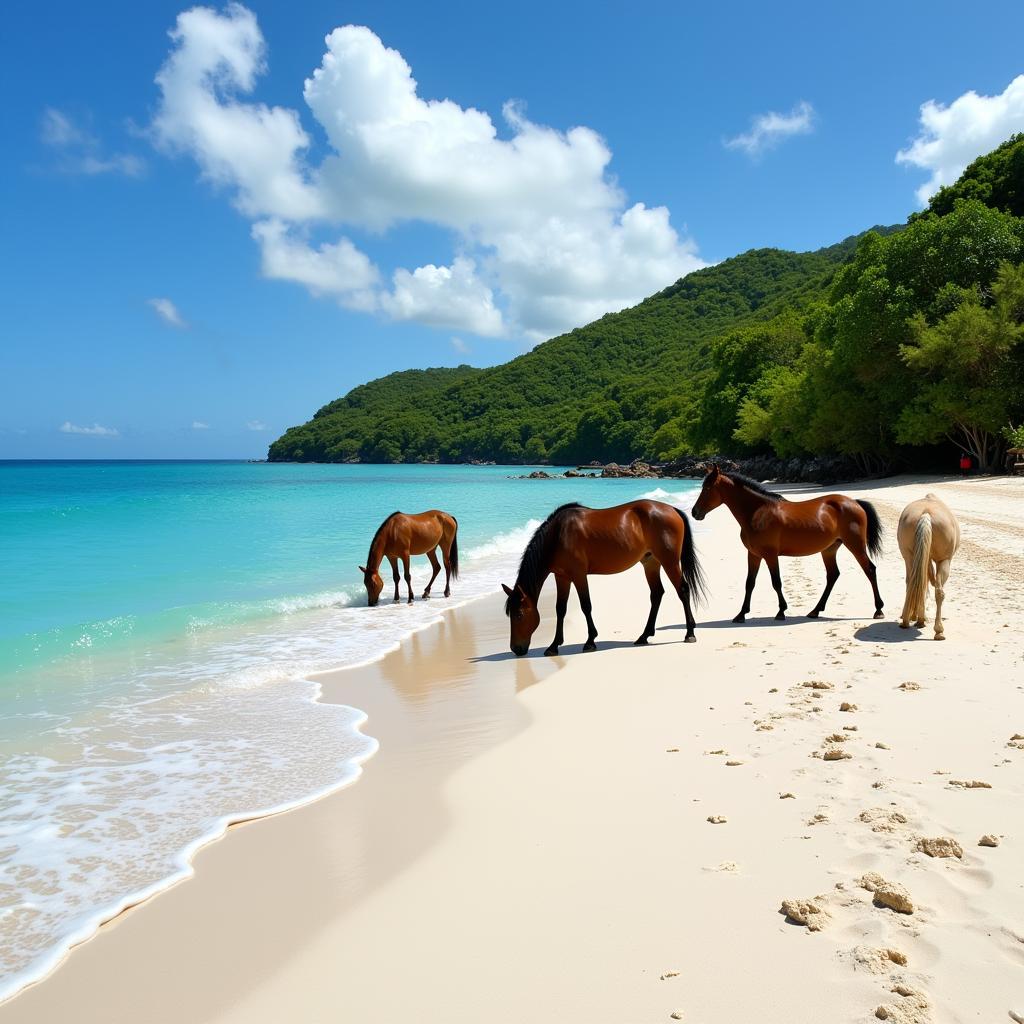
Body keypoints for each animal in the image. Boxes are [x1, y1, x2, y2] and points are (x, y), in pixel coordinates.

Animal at [501, 501, 704, 659]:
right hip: (651, 562)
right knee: (656, 594)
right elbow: (560, 609)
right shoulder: (562, 577)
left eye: (519, 615)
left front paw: (590, 641)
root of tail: (672, 509)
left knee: (682, 590)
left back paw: (689, 633)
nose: (516, 649)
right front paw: (553, 646)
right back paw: (644, 636)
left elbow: (586, 606)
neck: (558, 535)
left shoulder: (578, 575)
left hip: (669, 561)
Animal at [692, 466, 884, 622]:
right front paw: (741, 614)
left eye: (707, 488)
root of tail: (855, 502)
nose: (694, 512)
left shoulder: (770, 555)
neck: (757, 512)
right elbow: (749, 583)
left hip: (856, 546)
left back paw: (878, 610)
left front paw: (781, 611)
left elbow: (776, 582)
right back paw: (815, 611)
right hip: (829, 549)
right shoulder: (753, 554)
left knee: (870, 570)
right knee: (833, 575)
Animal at [897, 493, 958, 638]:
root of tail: (926, 514)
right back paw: (937, 630)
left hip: (909, 557)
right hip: (944, 560)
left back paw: (909, 620)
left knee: (913, 583)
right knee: (938, 590)